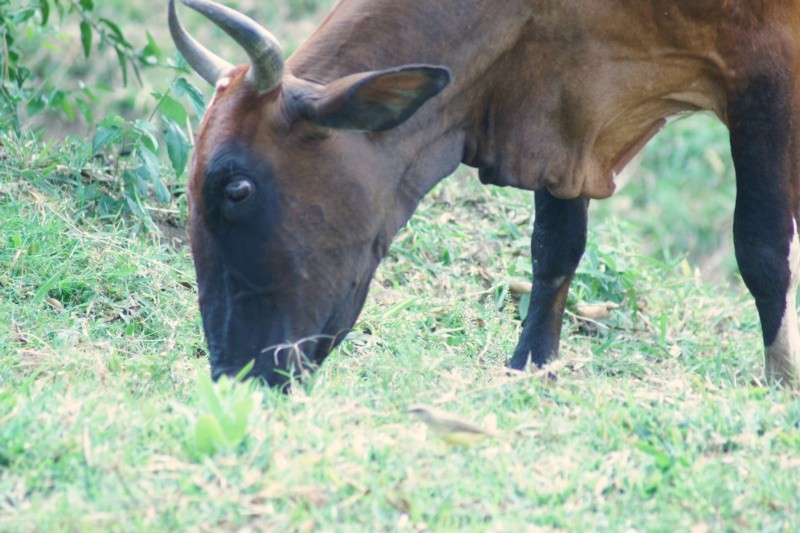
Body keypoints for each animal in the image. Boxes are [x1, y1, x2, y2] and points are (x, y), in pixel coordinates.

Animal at [169, 0, 800, 388]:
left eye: (238, 188)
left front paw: (781, 381)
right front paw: (530, 366)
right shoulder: (563, 115)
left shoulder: (766, 71)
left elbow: (761, 249)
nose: (234, 374)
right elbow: (554, 245)